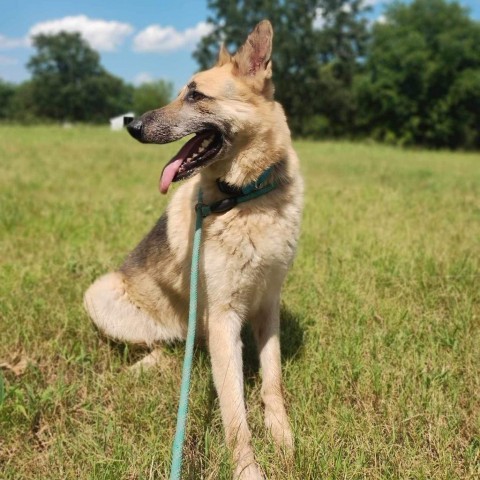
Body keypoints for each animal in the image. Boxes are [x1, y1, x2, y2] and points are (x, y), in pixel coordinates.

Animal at [85, 19, 304, 480]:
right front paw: (249, 470)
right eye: (180, 92)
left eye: (196, 95)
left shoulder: (267, 306)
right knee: (162, 348)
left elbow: (273, 380)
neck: (246, 199)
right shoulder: (223, 318)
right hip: (102, 295)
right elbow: (235, 414)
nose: (132, 125)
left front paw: (283, 438)